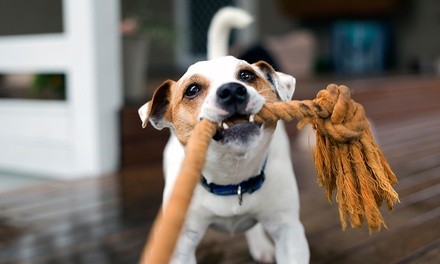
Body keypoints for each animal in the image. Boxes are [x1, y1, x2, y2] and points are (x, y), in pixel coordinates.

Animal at [139, 6, 308, 264]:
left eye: (247, 75)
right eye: (192, 90)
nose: (232, 90)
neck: (232, 179)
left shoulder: (289, 231)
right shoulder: (181, 245)